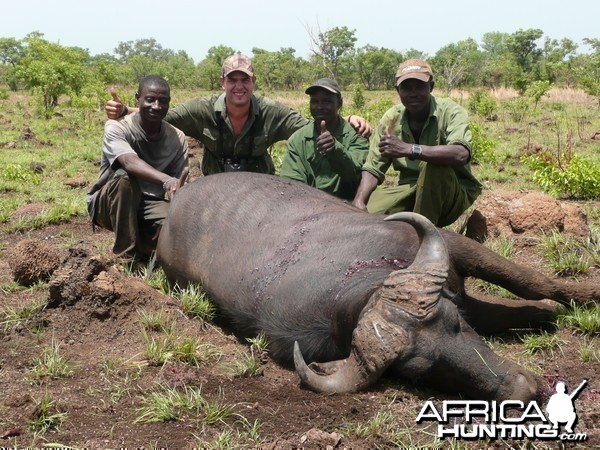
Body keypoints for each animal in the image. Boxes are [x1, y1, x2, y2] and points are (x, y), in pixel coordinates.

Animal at [157, 172, 596, 400]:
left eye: (456, 323)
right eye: (423, 370)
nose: (522, 391)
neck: (358, 275)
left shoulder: (455, 249)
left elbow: (530, 280)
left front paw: (582, 297)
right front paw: (548, 312)